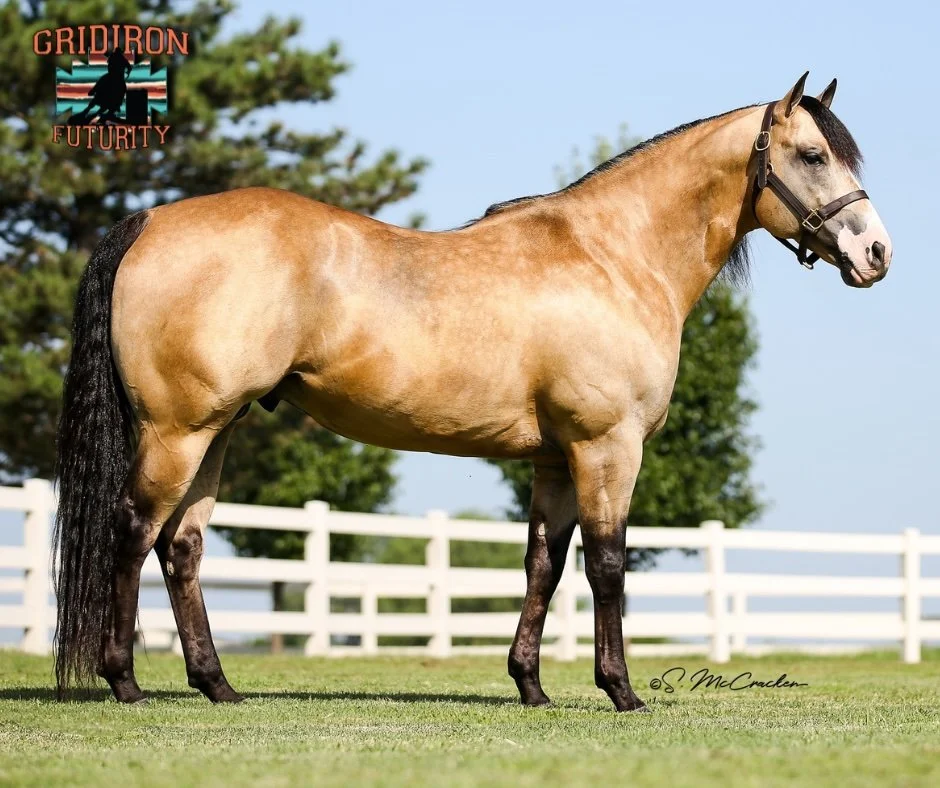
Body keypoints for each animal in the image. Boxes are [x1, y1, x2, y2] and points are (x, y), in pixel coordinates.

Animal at [53, 73, 891, 711]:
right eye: (813, 154)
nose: (877, 252)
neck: (613, 257)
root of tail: (149, 221)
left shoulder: (556, 459)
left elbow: (543, 566)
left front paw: (531, 687)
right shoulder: (606, 447)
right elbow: (607, 565)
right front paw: (620, 692)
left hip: (216, 431)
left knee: (181, 546)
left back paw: (218, 686)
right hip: (178, 431)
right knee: (132, 533)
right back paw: (124, 682)